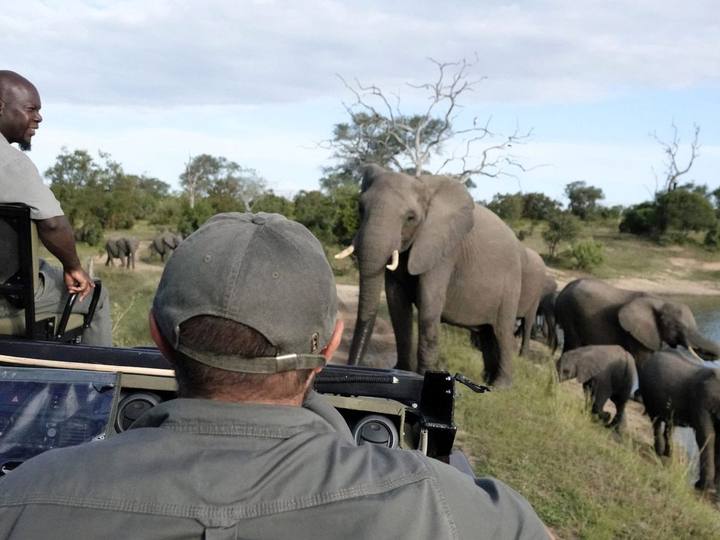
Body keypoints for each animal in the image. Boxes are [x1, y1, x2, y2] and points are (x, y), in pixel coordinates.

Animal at [339, 165, 523, 386]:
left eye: (410, 218)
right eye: (360, 208)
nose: (350, 368)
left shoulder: (444, 249)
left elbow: (429, 302)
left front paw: (423, 376)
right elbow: (396, 304)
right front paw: (400, 370)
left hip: (512, 282)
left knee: (502, 332)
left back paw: (500, 386)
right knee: (488, 334)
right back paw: (486, 380)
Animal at [555, 278, 720, 368]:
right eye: (678, 327)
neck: (660, 301)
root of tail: (564, 288)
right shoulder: (636, 333)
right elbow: (644, 360)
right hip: (569, 310)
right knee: (573, 341)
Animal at [638, 350, 720, 493]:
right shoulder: (701, 401)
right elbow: (706, 436)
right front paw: (705, 488)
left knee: (669, 425)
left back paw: (668, 454)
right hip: (647, 392)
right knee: (656, 419)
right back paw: (659, 452)